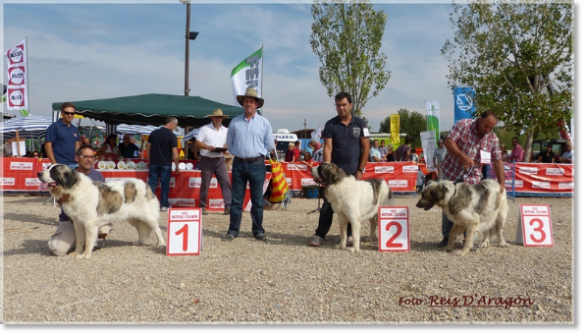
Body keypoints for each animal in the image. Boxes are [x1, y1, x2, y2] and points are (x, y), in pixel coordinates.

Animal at [38, 165, 167, 260]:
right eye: (48, 167)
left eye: (54, 171)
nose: (39, 173)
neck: (74, 188)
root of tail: (146, 185)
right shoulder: (78, 223)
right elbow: (80, 240)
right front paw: (77, 252)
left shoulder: (90, 223)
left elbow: (88, 240)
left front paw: (85, 255)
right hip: (134, 218)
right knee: (141, 229)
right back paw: (139, 242)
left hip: (147, 216)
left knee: (157, 229)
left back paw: (161, 244)